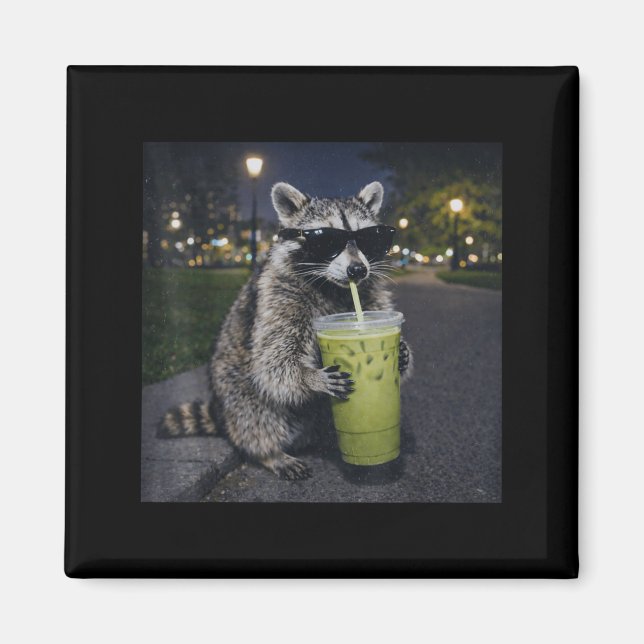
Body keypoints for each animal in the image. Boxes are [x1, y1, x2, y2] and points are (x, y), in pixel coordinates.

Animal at [159, 181, 413, 480]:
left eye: (368, 239)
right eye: (326, 240)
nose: (357, 270)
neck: (333, 288)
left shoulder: (370, 294)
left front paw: (402, 353)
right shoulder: (279, 295)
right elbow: (273, 362)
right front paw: (309, 377)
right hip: (235, 390)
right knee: (256, 414)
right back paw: (269, 453)